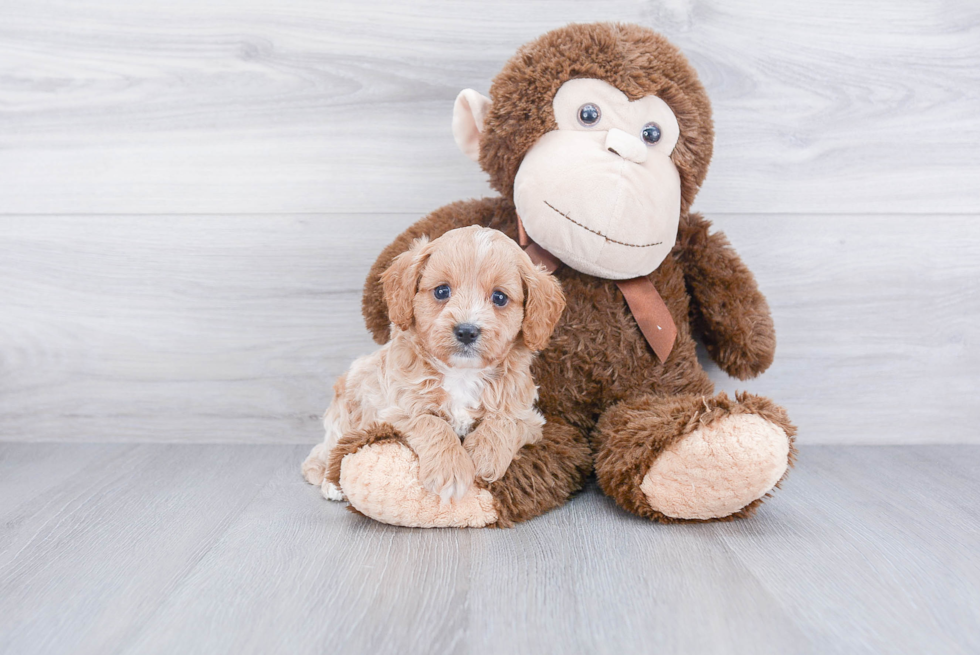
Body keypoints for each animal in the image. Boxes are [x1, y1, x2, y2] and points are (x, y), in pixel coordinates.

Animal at [302, 226, 564, 502]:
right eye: (441, 291)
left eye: (500, 297)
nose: (467, 331)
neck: (462, 373)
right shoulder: (395, 410)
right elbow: (431, 422)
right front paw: (450, 469)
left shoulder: (529, 416)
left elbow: (504, 421)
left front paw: (484, 455)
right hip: (345, 406)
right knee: (327, 448)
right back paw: (330, 483)